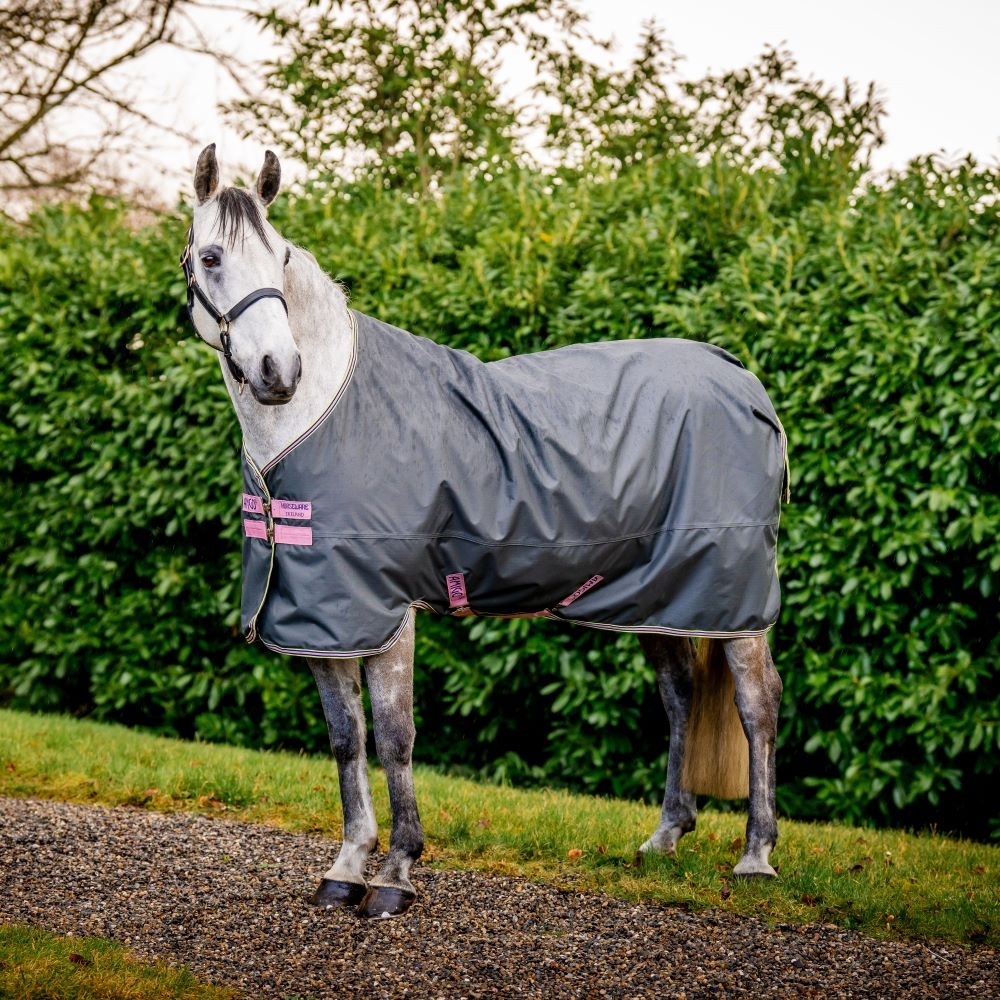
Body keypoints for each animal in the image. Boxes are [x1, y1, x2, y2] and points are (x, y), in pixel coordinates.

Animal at [181, 144, 785, 919]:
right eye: (212, 256)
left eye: (279, 255)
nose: (277, 372)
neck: (321, 413)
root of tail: (743, 381)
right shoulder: (321, 613)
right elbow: (346, 738)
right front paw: (346, 867)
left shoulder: (384, 609)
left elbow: (396, 736)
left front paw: (396, 875)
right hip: (663, 598)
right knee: (680, 697)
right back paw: (663, 839)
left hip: (734, 601)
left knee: (756, 705)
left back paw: (756, 856)